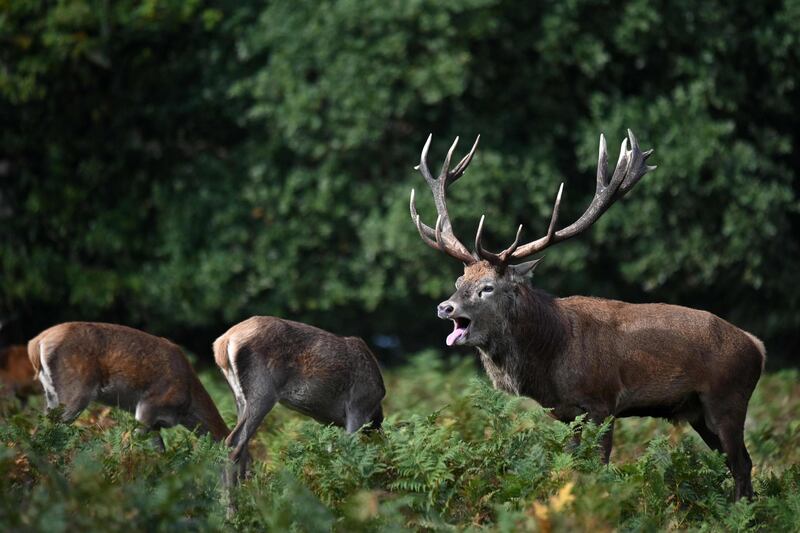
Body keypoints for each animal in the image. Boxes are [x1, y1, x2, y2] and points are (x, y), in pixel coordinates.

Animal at [28, 320, 228, 448]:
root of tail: (36, 343)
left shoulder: (156, 423)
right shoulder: (150, 405)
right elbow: (128, 443)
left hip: (51, 393)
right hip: (75, 391)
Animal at [214, 316, 386, 478]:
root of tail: (222, 342)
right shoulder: (358, 406)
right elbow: (349, 447)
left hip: (240, 398)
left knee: (241, 444)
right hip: (262, 391)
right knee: (234, 440)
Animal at [410, 130, 764, 498]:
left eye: (488, 287)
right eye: (459, 281)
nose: (445, 307)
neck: (551, 357)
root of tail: (757, 347)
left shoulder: (602, 402)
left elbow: (600, 467)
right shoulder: (567, 415)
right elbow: (572, 467)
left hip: (727, 399)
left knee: (741, 464)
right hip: (698, 412)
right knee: (742, 463)